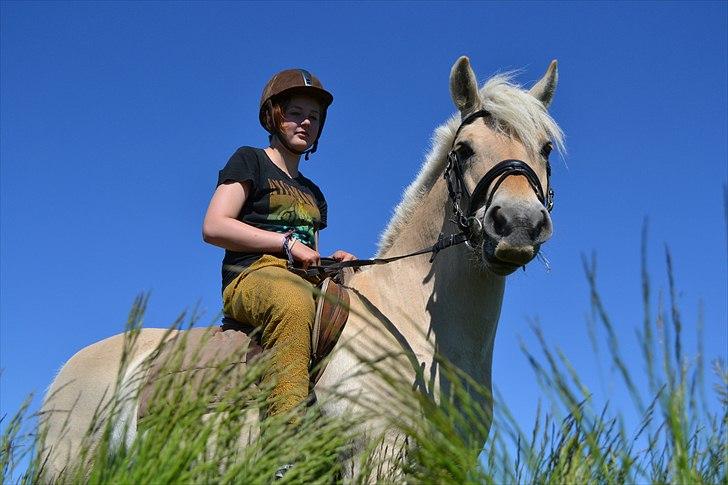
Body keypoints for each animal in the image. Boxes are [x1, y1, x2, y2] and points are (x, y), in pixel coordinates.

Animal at [38, 55, 564, 476]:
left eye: (544, 149)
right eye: (464, 150)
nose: (518, 224)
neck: (414, 327)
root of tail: (68, 370)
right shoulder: (376, 456)